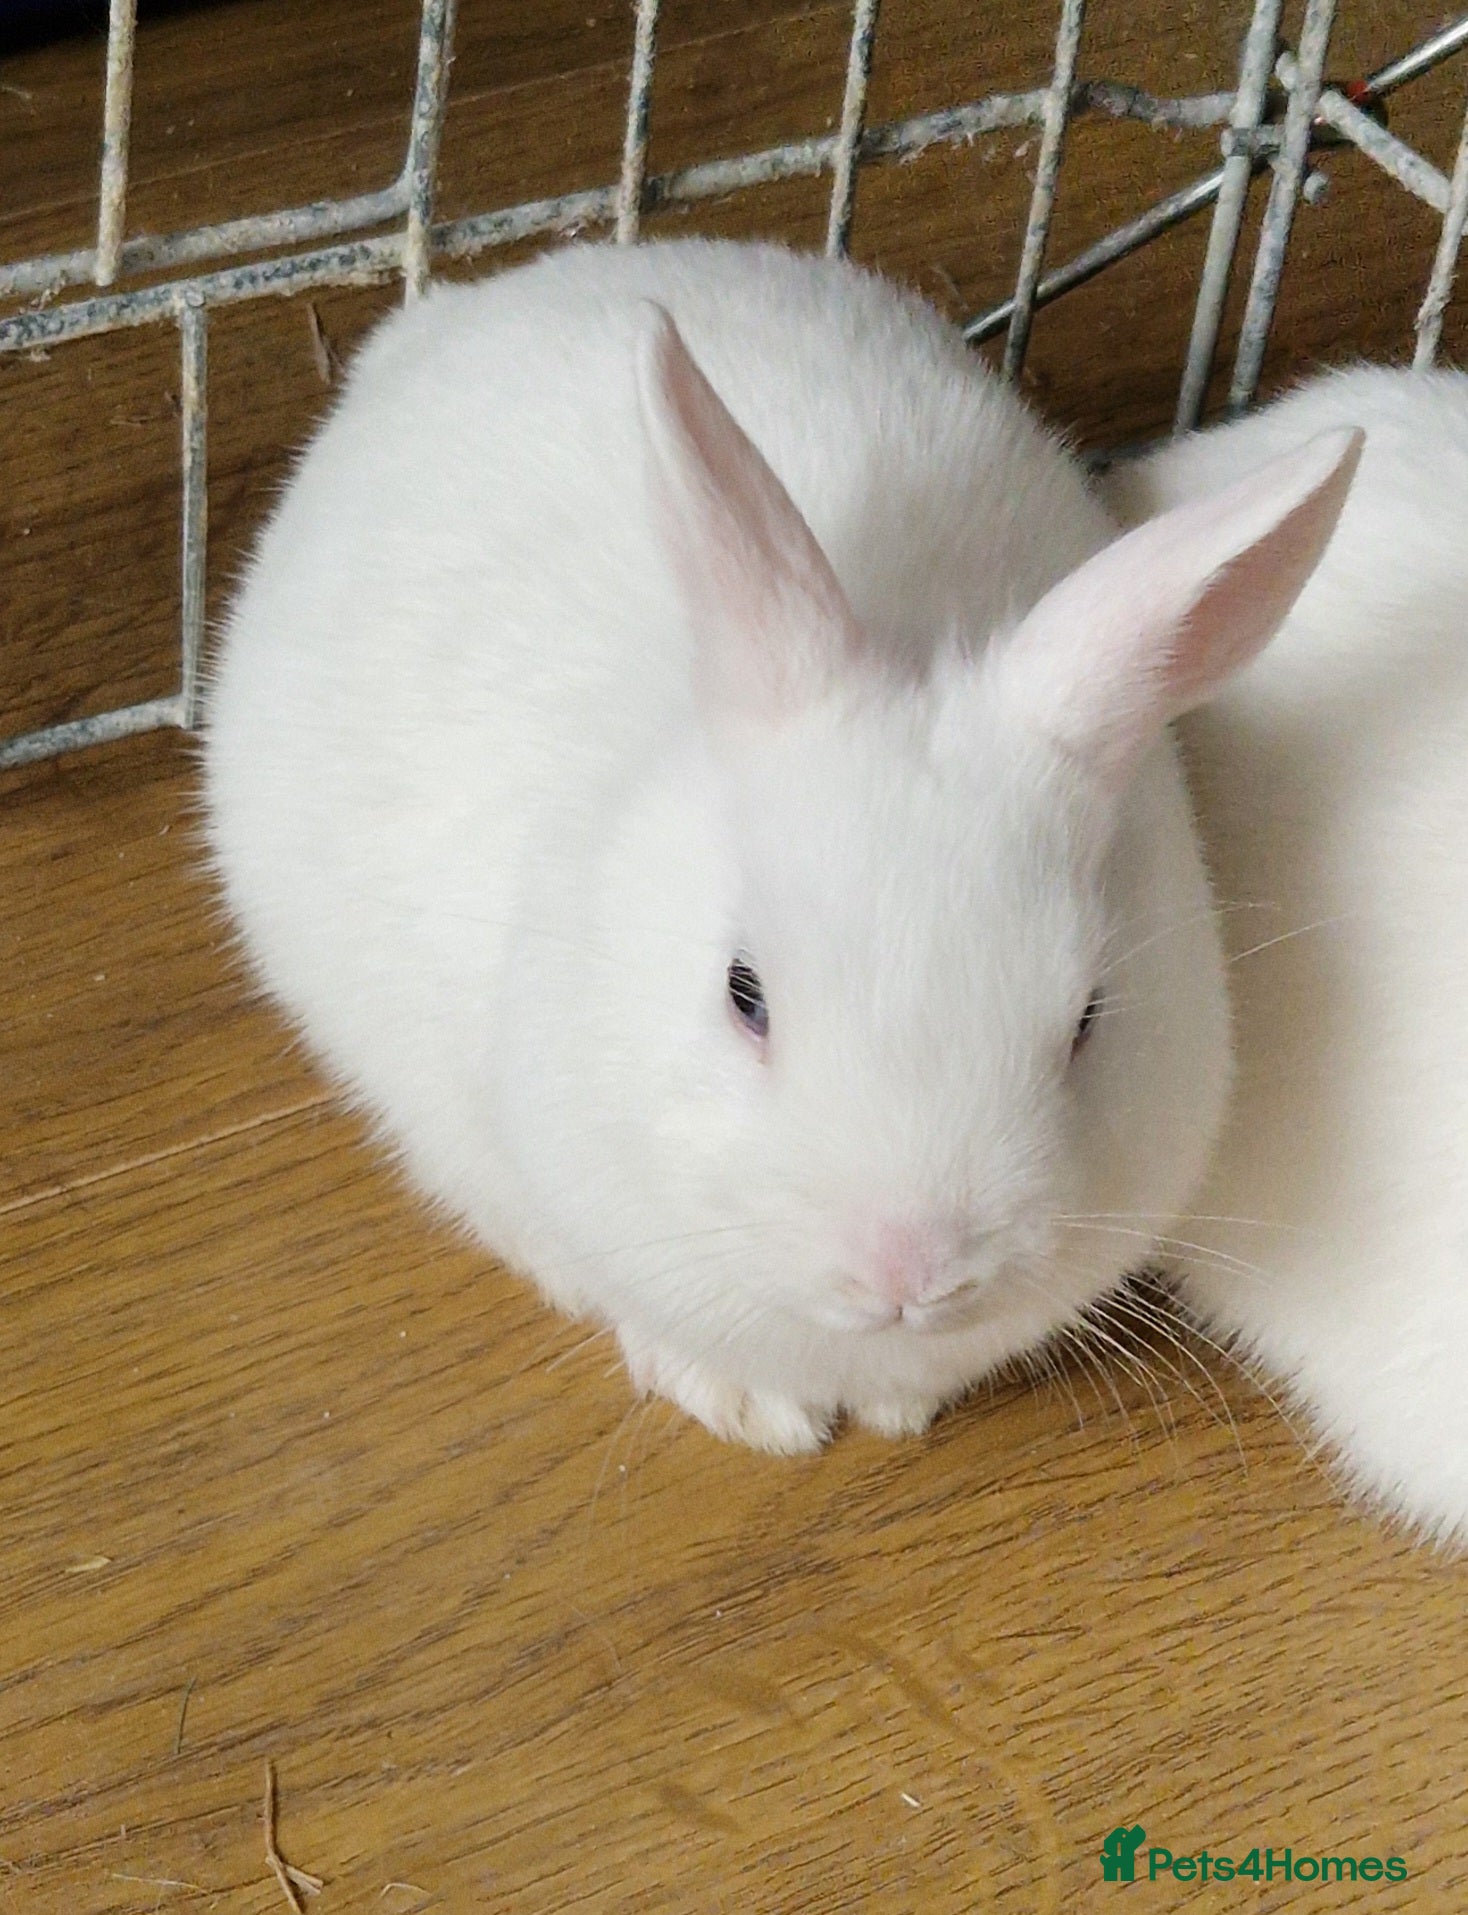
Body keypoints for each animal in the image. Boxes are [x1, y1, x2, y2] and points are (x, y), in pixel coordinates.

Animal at [203, 237, 1358, 1454]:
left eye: (1090, 1018)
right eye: (742, 992)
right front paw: (757, 1414)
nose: (909, 1272)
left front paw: (900, 1406)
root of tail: (442, 320)